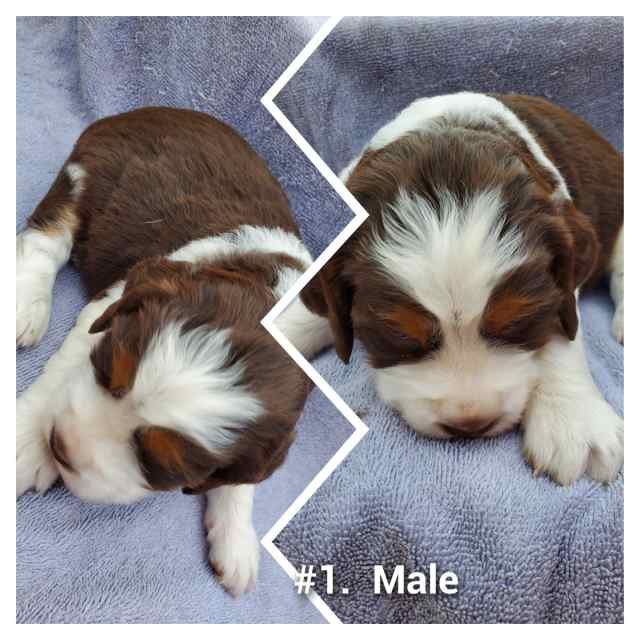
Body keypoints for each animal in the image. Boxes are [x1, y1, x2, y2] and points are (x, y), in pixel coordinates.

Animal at [15, 106, 330, 596]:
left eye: (156, 464)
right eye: (106, 370)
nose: (58, 445)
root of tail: (143, 112)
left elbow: (242, 477)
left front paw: (237, 544)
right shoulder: (109, 307)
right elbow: (61, 369)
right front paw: (23, 445)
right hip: (84, 178)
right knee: (46, 239)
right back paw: (25, 306)